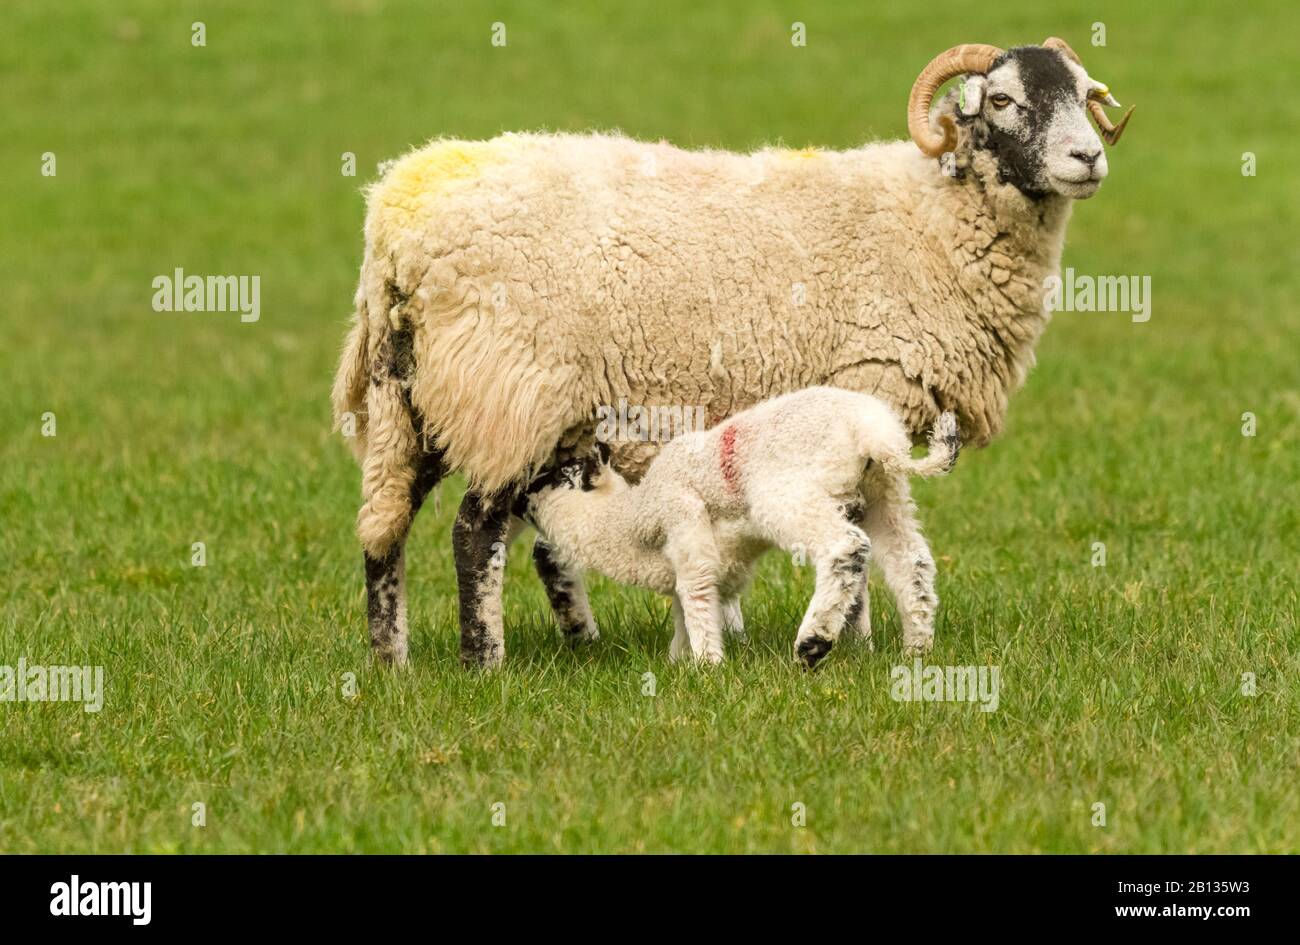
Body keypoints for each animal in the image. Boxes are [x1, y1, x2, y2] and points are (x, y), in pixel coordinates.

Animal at [522, 387, 961, 670]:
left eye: (554, 476)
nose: (518, 494)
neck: (631, 518)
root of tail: (873, 432)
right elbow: (684, 605)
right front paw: (679, 661)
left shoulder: (684, 521)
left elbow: (696, 593)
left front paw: (708, 667)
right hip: (884, 492)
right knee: (911, 561)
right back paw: (917, 649)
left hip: (790, 496)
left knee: (845, 547)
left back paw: (813, 644)